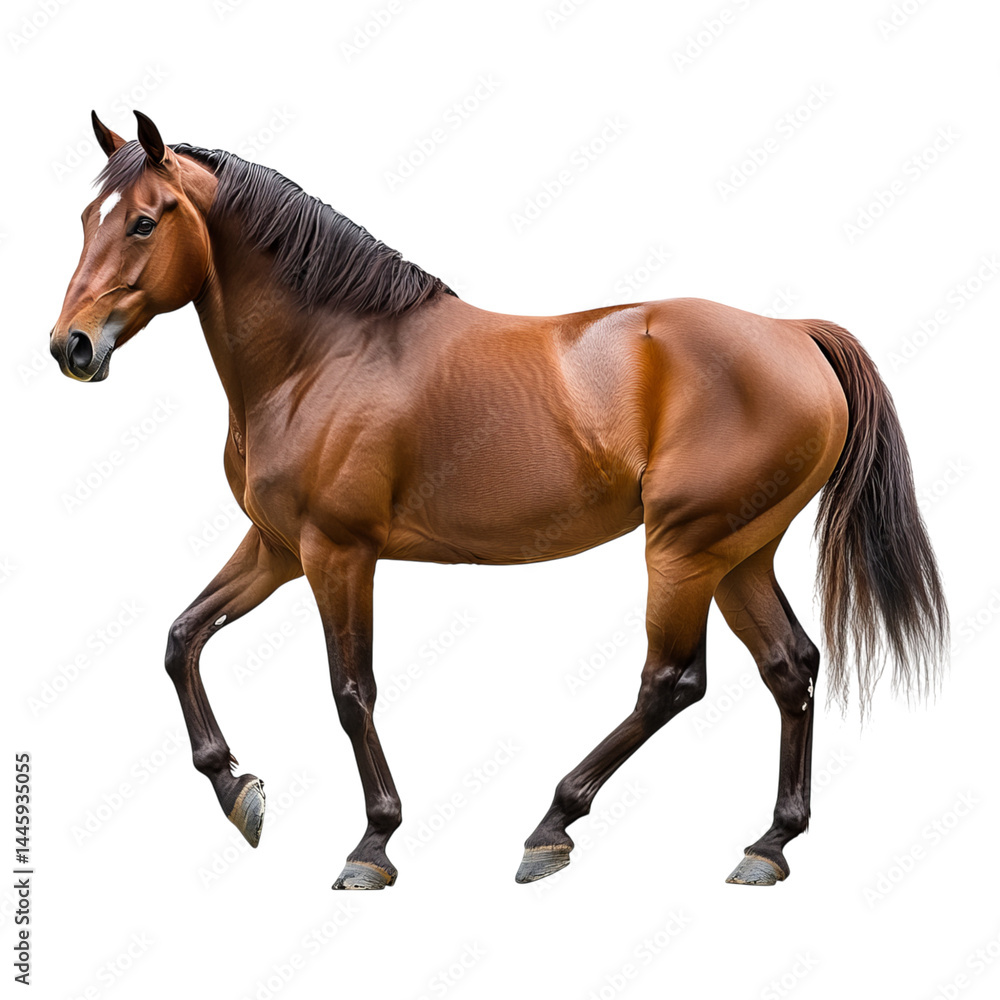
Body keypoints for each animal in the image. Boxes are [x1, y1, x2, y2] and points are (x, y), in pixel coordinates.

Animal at [49, 111, 948, 890]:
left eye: (143, 222)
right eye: (89, 218)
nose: (71, 347)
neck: (323, 353)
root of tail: (795, 335)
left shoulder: (338, 552)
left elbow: (350, 691)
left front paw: (373, 843)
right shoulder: (276, 547)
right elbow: (182, 640)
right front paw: (238, 790)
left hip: (685, 548)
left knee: (672, 680)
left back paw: (553, 825)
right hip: (739, 554)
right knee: (789, 666)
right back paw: (769, 845)